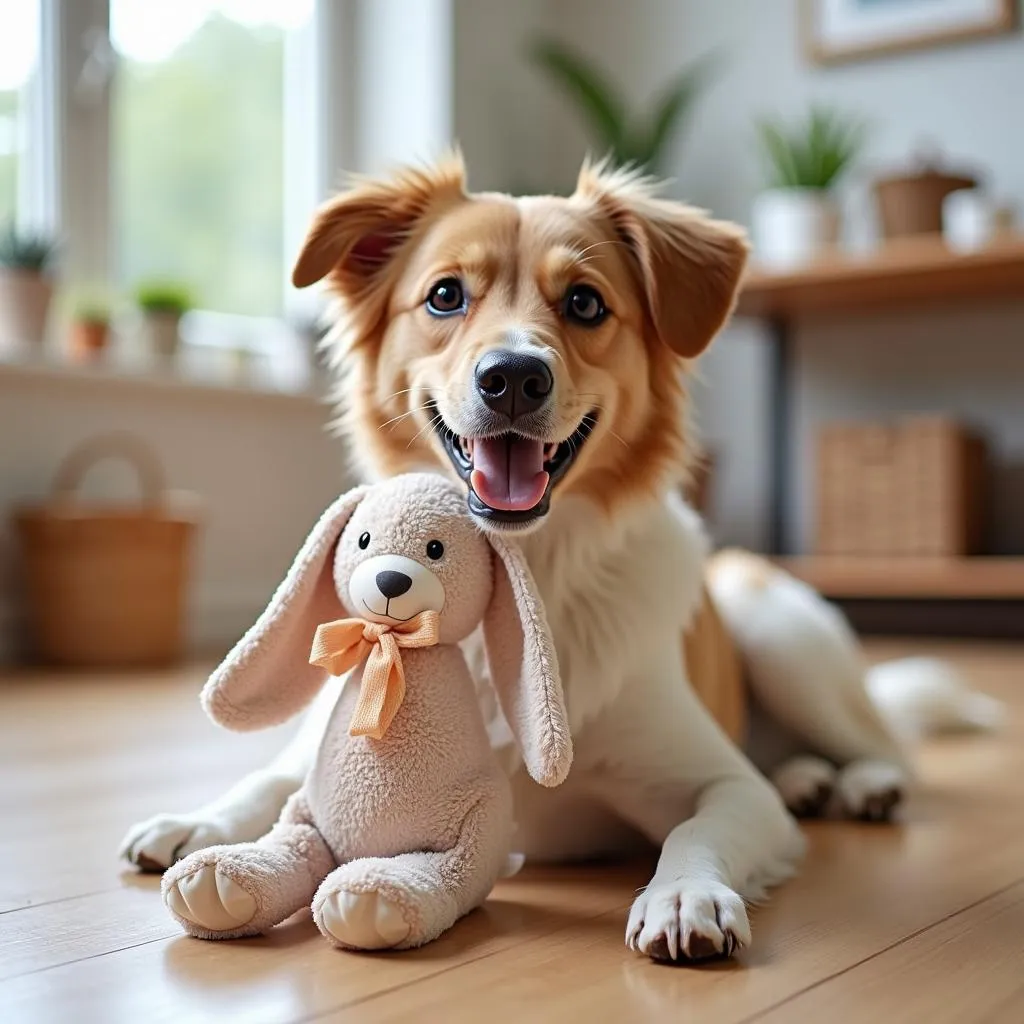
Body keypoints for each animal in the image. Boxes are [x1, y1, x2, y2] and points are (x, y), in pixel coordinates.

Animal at [119, 155, 991, 962]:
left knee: (883, 743)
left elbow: (698, 831)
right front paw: (197, 822)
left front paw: (684, 896)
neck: (529, 569)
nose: (512, 376)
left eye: (585, 303)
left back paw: (861, 782)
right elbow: (266, 780)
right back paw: (809, 778)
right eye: (445, 296)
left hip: (778, 633)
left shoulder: (728, 788)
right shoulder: (316, 744)